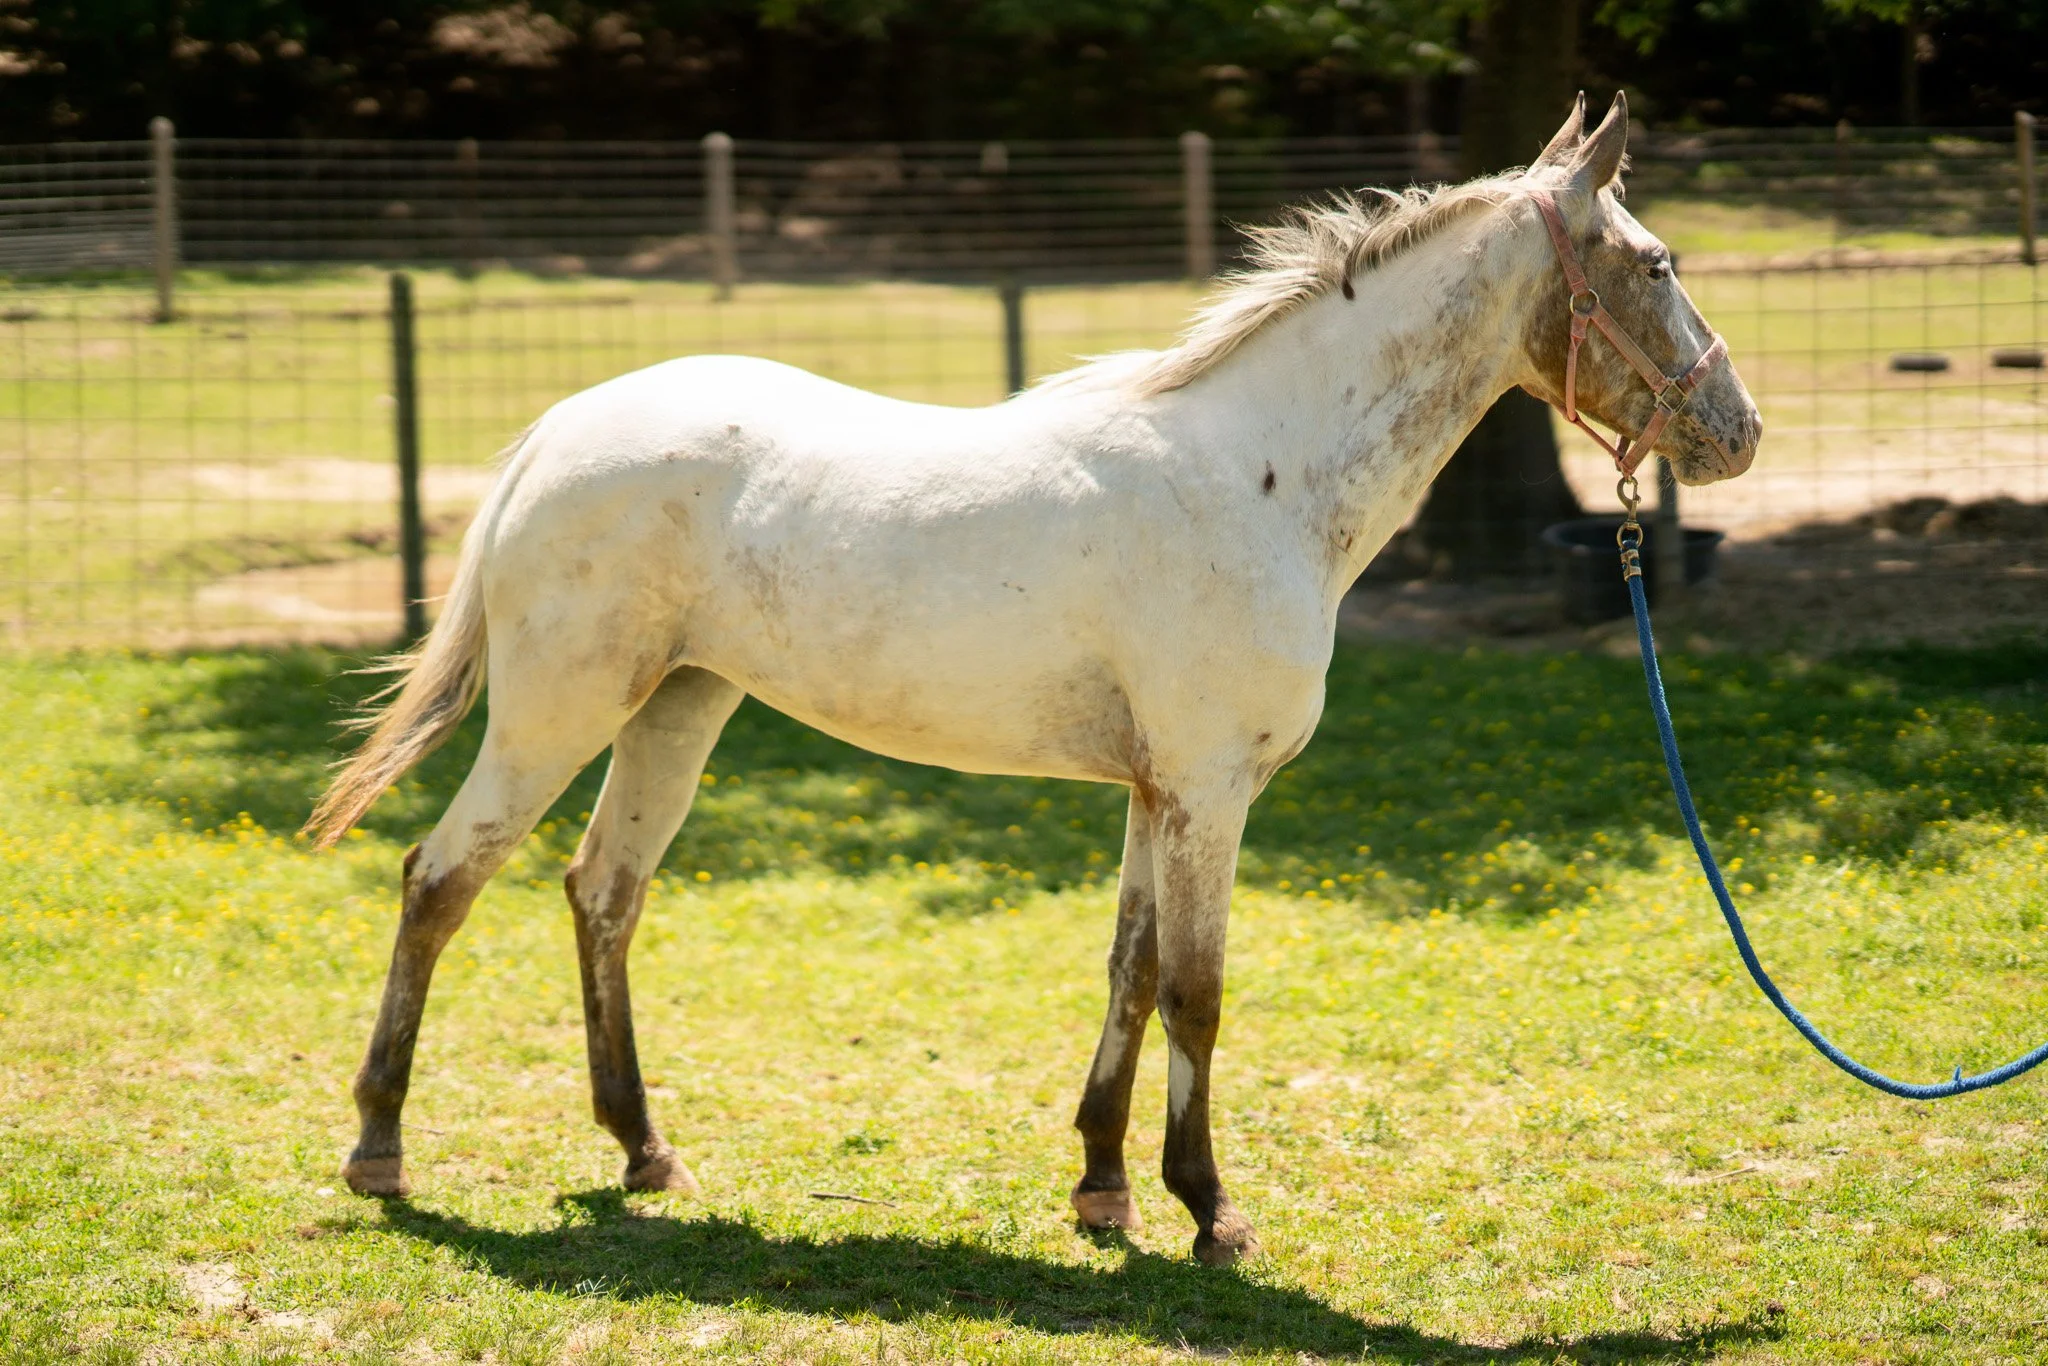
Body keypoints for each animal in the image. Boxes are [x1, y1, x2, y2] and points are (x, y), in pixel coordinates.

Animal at [308, 92, 1760, 1266]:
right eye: (1653, 261)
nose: (1736, 432)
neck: (1258, 477)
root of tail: (560, 427)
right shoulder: (1211, 793)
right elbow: (1195, 991)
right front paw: (1209, 1211)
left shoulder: (1153, 792)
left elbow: (1127, 968)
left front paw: (1103, 1190)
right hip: (557, 713)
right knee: (438, 878)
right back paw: (381, 1150)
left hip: (678, 708)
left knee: (603, 892)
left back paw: (642, 1150)